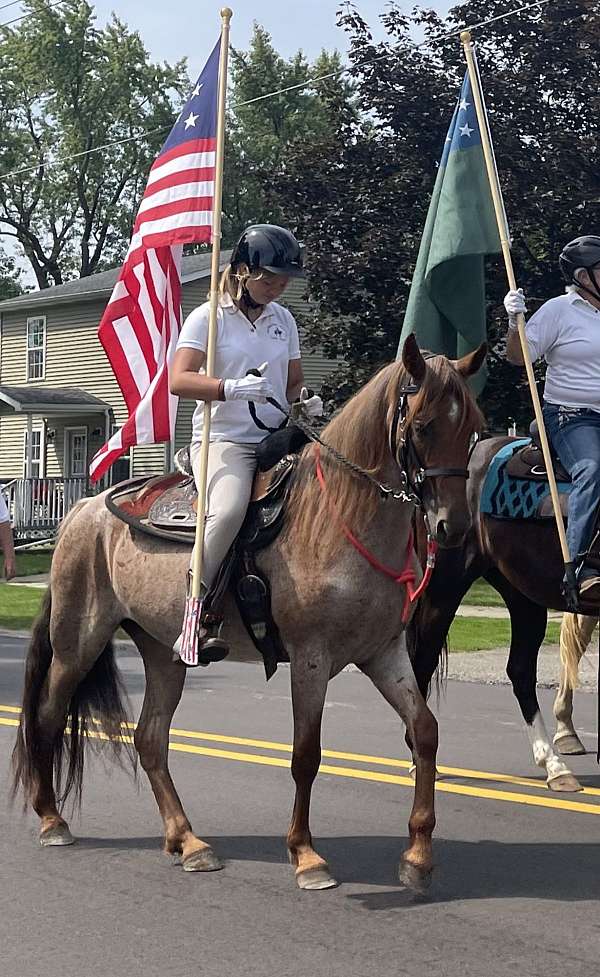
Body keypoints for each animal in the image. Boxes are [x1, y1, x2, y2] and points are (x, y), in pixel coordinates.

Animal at [11, 340, 486, 896]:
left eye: (473, 429)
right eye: (424, 425)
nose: (452, 527)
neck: (339, 518)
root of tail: (83, 507)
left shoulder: (384, 654)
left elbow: (424, 731)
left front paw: (418, 854)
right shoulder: (311, 658)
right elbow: (306, 754)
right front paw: (306, 856)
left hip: (165, 653)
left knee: (150, 738)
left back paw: (188, 841)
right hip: (77, 643)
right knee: (47, 714)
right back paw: (52, 819)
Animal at [408, 434, 596, 792]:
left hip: (524, 595)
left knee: (521, 671)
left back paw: (554, 765)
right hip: (445, 589)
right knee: (422, 662)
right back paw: (418, 758)